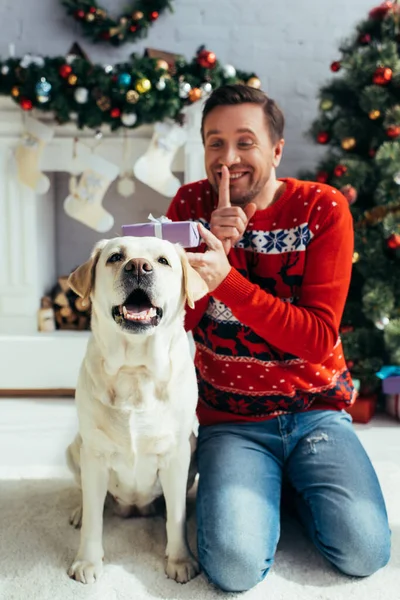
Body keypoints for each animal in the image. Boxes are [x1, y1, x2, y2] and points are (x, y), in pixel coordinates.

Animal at [65, 236, 206, 584]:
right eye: (116, 257)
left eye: (163, 260)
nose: (139, 267)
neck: (134, 370)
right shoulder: (94, 455)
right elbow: (94, 522)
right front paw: (87, 561)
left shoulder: (176, 455)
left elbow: (176, 518)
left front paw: (181, 560)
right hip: (75, 449)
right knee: (86, 498)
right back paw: (79, 511)